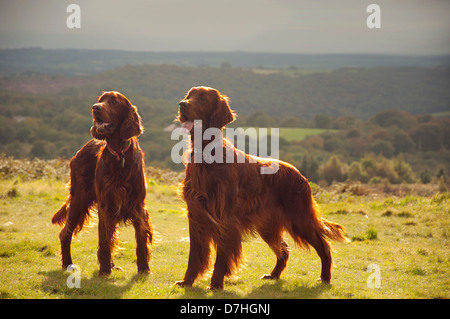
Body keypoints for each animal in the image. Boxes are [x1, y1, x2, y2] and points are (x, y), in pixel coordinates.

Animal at [51, 91, 152, 276]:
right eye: (100, 100)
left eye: (114, 102)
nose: (95, 107)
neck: (119, 154)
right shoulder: (106, 204)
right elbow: (104, 240)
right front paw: (104, 270)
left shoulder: (137, 205)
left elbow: (140, 239)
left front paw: (143, 269)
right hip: (79, 199)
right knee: (65, 233)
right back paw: (68, 264)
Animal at [175, 87, 348, 290]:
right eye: (189, 96)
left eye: (202, 98)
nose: (182, 104)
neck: (207, 156)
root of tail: (301, 175)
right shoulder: (196, 216)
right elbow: (194, 256)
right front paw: (187, 281)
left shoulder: (225, 219)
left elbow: (221, 257)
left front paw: (216, 284)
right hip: (267, 226)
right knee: (284, 250)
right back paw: (273, 275)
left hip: (300, 220)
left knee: (324, 247)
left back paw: (325, 278)